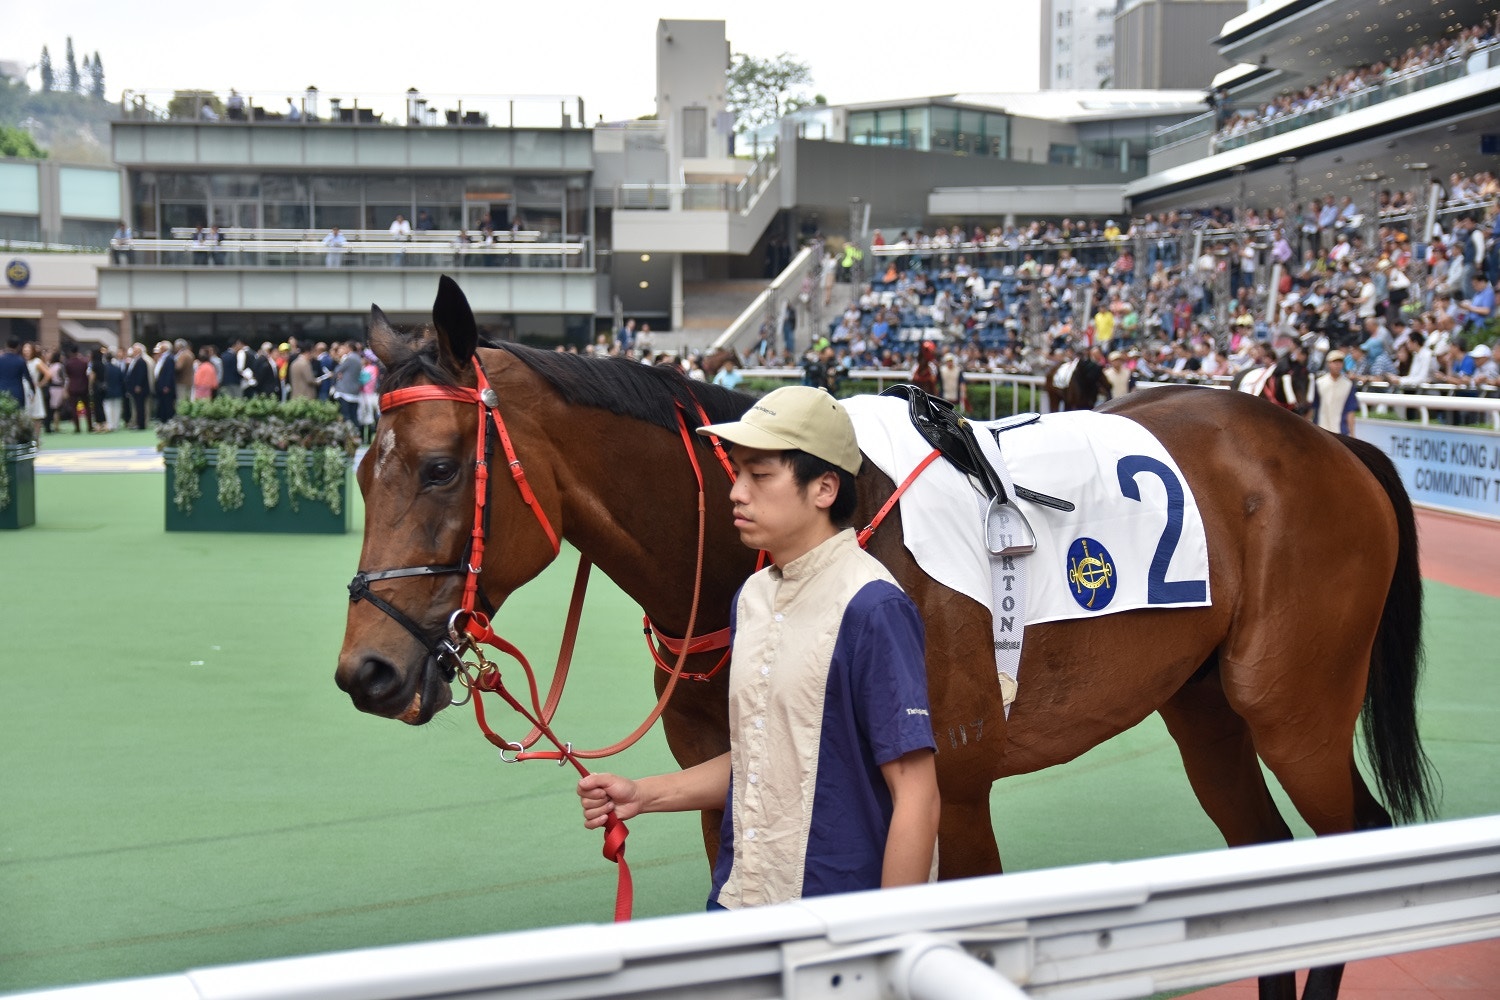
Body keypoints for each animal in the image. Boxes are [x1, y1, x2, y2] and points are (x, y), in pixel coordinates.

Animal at [339, 278, 1432, 1000]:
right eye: (360, 468)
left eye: (440, 467)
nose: (367, 670)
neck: (776, 554)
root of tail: (1330, 443)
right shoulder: (729, 774)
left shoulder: (952, 783)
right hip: (1204, 707)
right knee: (1265, 863)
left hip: (1291, 705)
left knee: (1352, 844)